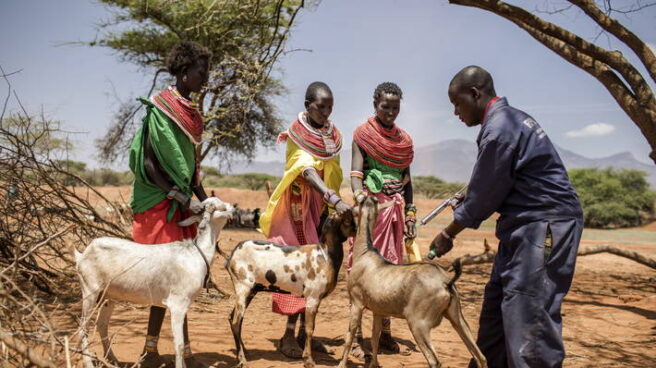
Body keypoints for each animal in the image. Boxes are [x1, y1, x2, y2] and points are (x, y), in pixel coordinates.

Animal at [75, 198, 233, 368]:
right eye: (220, 207)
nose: (233, 209)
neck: (195, 254)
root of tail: (83, 254)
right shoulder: (177, 304)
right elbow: (179, 344)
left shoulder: (184, 304)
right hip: (90, 291)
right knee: (83, 326)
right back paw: (89, 362)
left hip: (108, 296)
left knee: (102, 324)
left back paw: (113, 360)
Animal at [227, 211, 358, 368]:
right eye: (347, 220)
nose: (356, 231)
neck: (325, 255)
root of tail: (233, 254)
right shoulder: (313, 298)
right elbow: (310, 329)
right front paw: (308, 360)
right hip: (243, 287)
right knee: (236, 322)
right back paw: (242, 359)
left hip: (251, 290)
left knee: (232, 318)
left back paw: (244, 352)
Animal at [338, 198, 486, 368]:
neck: (365, 253)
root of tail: (446, 281)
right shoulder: (378, 310)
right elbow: (375, 338)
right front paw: (374, 364)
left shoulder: (357, 303)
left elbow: (349, 336)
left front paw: (341, 364)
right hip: (456, 316)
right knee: (480, 356)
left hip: (419, 323)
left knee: (435, 361)